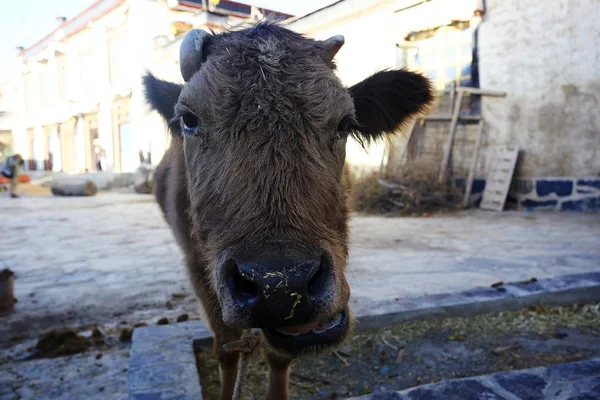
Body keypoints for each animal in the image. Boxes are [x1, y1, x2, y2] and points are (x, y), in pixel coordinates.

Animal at [144, 21, 434, 400]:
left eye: (345, 122)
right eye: (189, 119)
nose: (281, 287)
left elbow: (278, 355)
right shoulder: (197, 268)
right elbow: (226, 348)